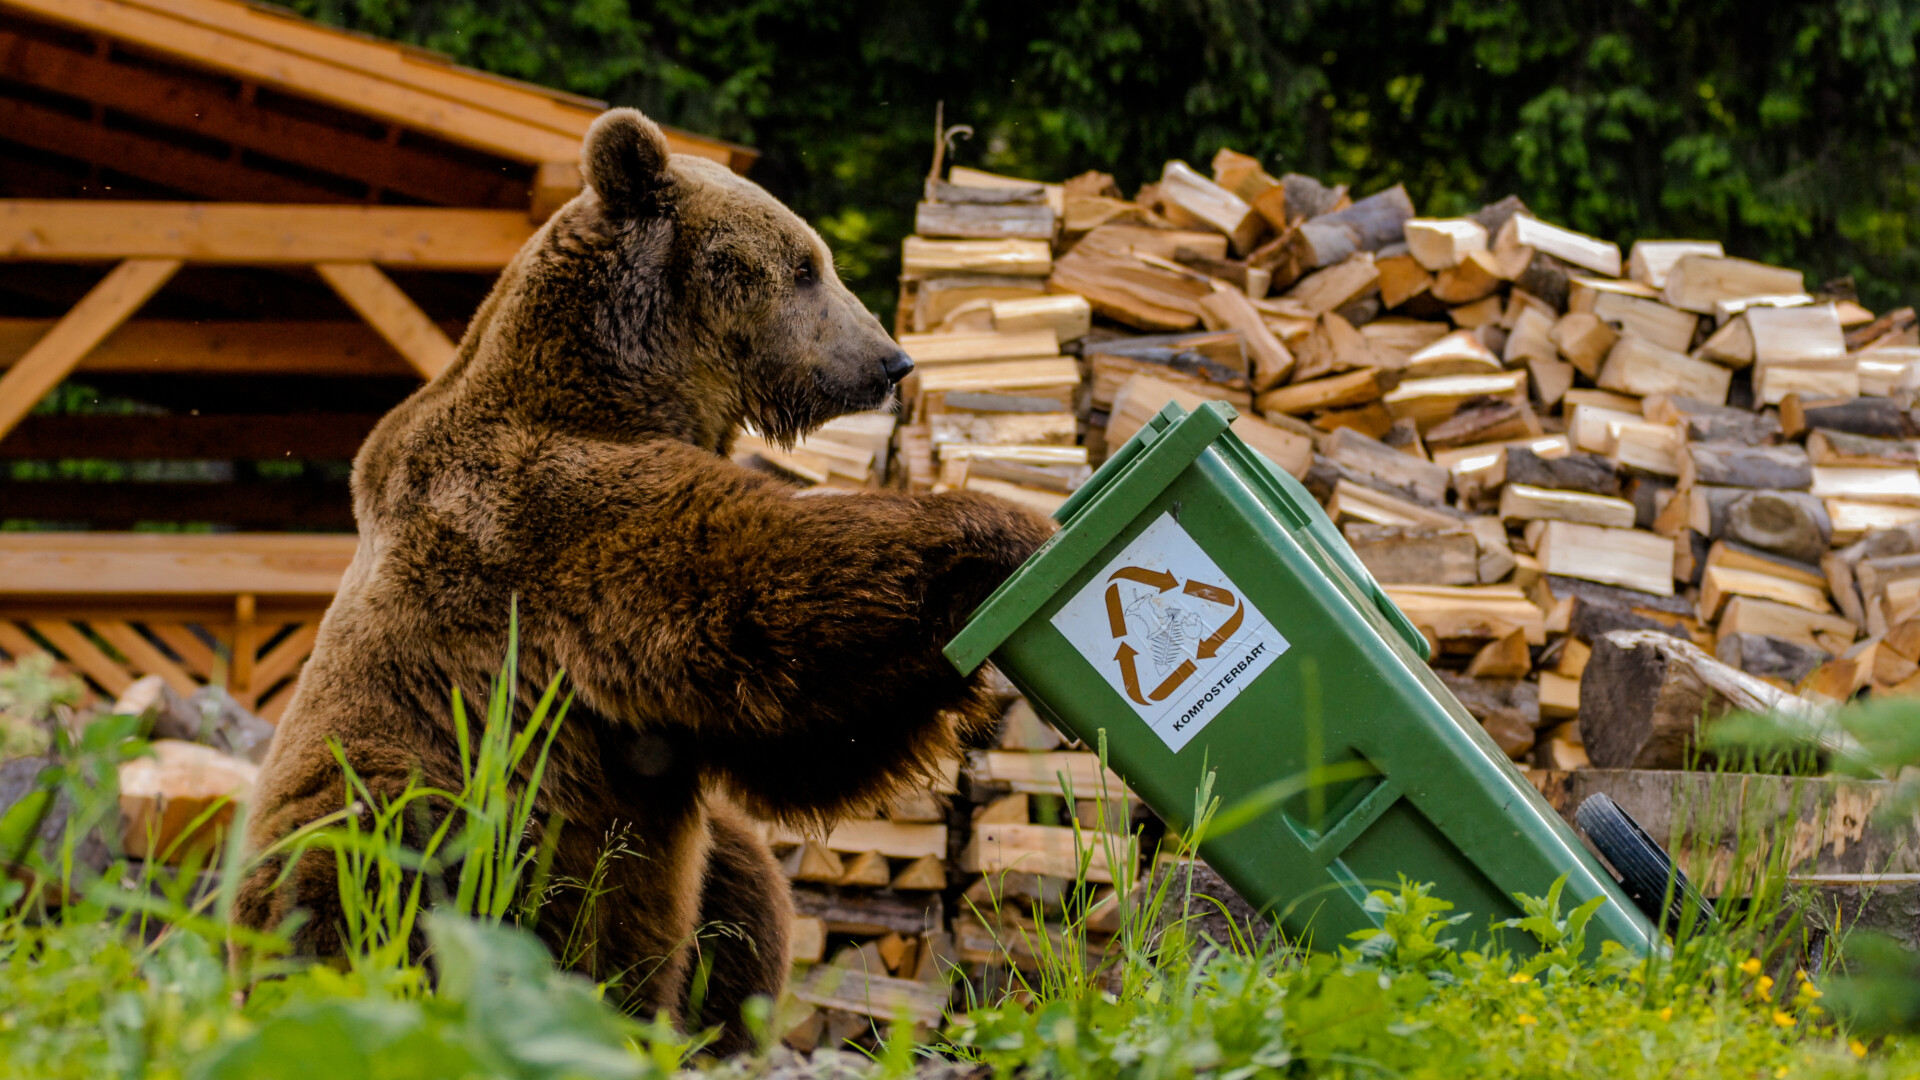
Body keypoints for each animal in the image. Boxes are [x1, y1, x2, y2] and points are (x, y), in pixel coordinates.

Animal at [240, 105, 1059, 1045]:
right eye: (805, 266)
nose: (891, 362)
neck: (626, 384)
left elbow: (801, 743)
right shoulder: (549, 519)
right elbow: (758, 594)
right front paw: (1006, 530)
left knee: (741, 884)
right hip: (417, 801)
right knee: (368, 874)